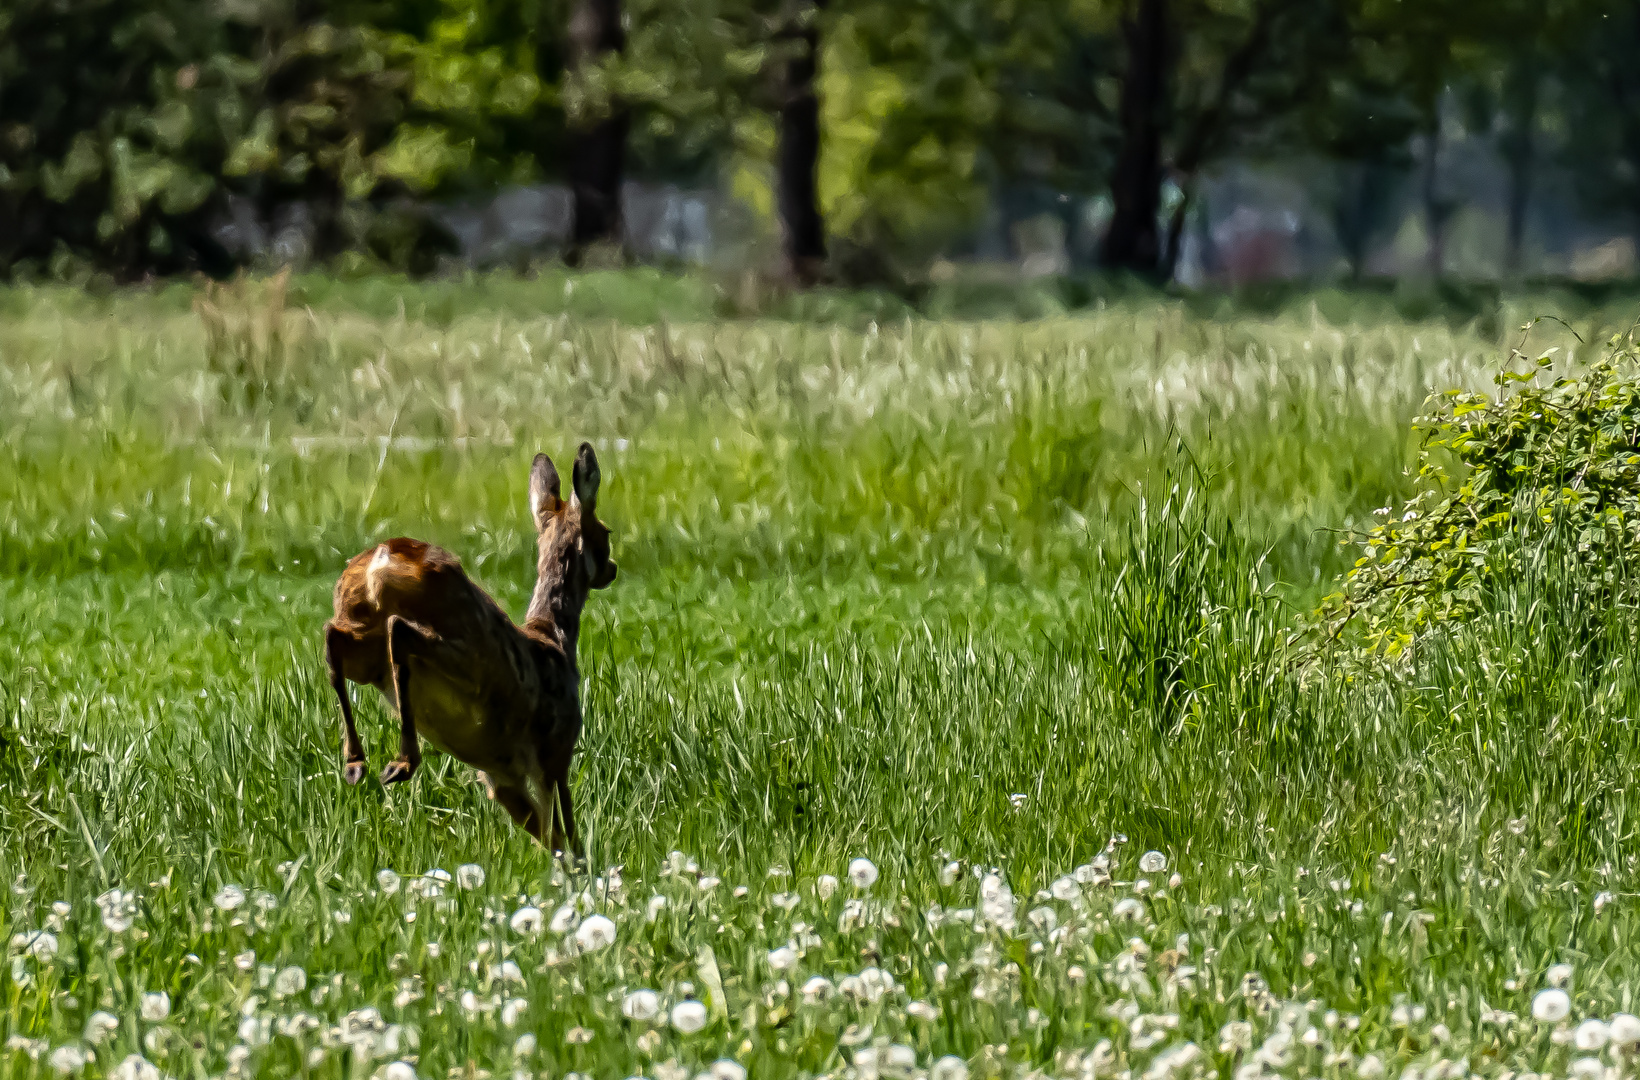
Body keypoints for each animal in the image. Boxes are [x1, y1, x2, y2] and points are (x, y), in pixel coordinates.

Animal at [319, 442, 616, 852]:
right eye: (606, 531)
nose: (613, 567)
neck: (554, 639)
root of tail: (379, 563)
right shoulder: (555, 750)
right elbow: (566, 836)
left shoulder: (499, 775)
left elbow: (548, 835)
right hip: (467, 662)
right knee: (399, 632)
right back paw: (400, 763)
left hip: (365, 646)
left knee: (333, 640)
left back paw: (356, 764)